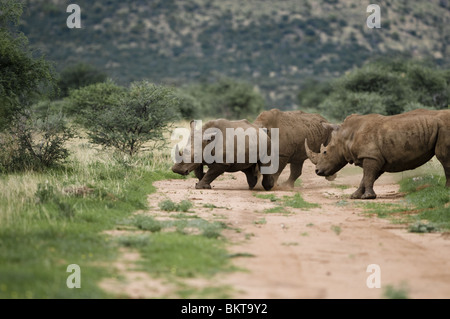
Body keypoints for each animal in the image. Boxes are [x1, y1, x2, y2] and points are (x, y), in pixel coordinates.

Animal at [306, 110, 450, 200]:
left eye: (325, 152)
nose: (317, 171)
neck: (345, 137)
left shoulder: (371, 156)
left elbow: (368, 176)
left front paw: (368, 197)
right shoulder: (375, 158)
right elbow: (366, 177)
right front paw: (355, 196)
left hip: (444, 127)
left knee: (444, 158)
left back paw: (447, 189)